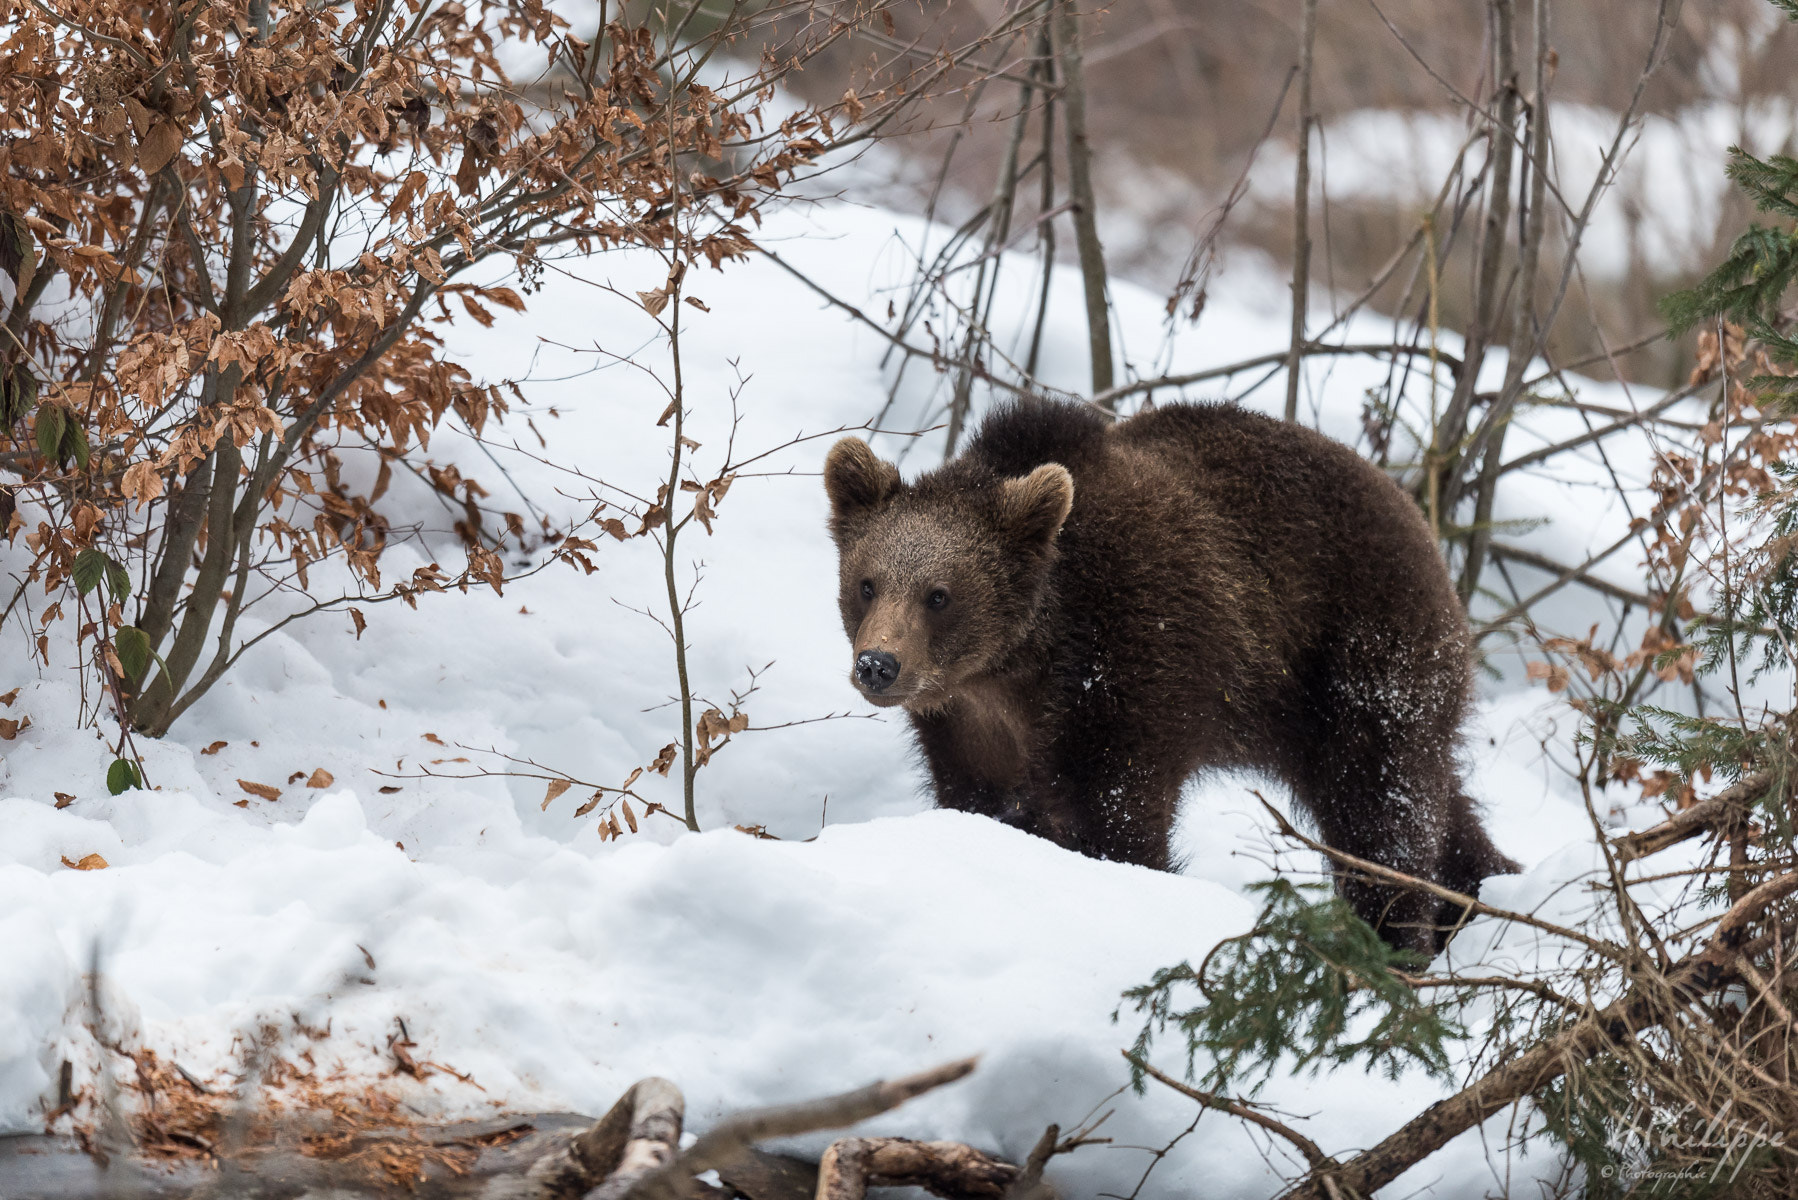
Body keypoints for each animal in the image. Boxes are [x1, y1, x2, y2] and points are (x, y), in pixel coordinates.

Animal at [823, 399, 1517, 949]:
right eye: (867, 583)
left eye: (938, 595)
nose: (878, 665)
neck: (1016, 668)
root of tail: (1413, 513)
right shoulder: (969, 727)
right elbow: (978, 797)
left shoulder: (1131, 666)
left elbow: (1117, 820)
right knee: (1435, 798)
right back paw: (1483, 890)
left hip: (1358, 655)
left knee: (1381, 808)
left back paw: (1396, 940)